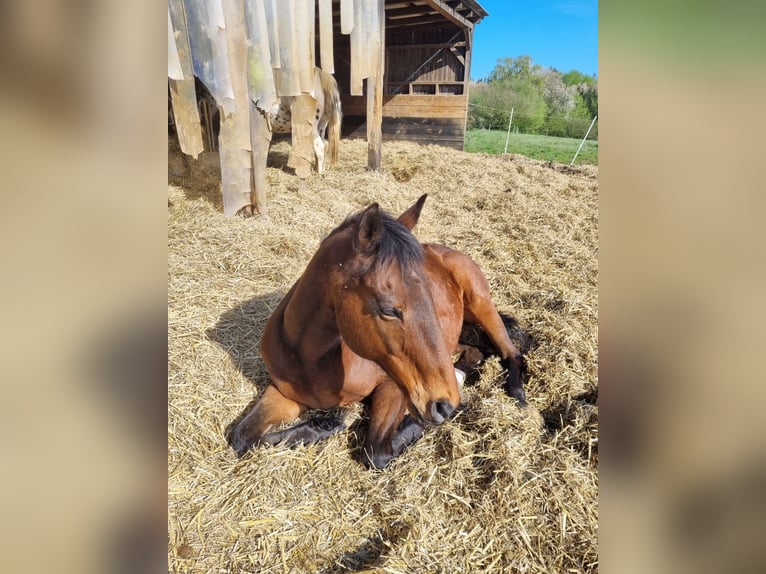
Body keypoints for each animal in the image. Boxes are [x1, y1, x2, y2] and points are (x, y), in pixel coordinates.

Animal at [228, 196, 528, 470]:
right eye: (389, 310)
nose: (445, 404)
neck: (308, 358)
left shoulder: (393, 385)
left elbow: (378, 452)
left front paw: (330, 423)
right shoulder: (282, 393)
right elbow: (243, 437)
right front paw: (325, 424)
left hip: (480, 303)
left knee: (510, 352)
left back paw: (516, 394)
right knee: (475, 352)